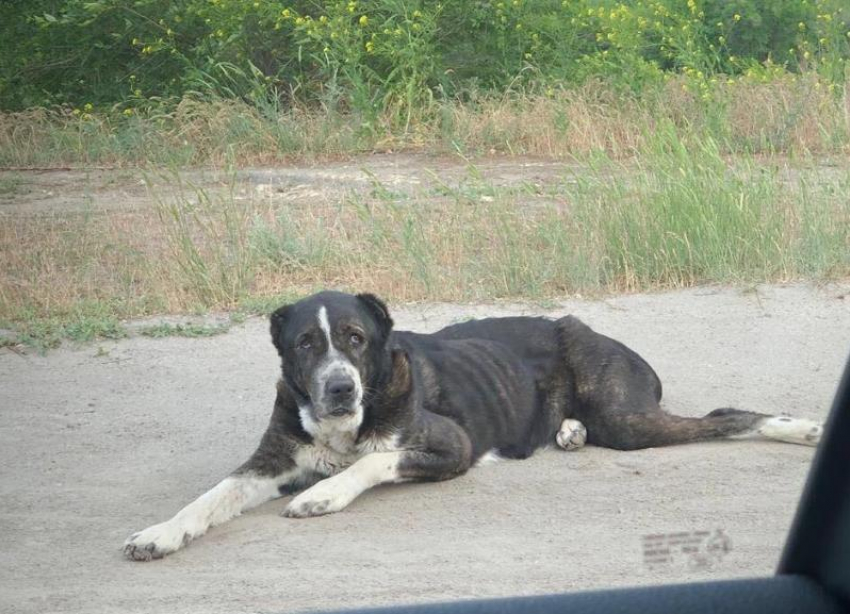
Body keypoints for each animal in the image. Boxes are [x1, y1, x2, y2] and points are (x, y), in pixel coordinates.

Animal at [122, 292, 820, 564]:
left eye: (355, 338)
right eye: (304, 345)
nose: (339, 388)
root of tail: (603, 333)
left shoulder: (449, 446)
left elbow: (372, 458)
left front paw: (324, 493)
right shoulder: (267, 461)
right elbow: (210, 496)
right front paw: (160, 533)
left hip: (628, 418)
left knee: (724, 419)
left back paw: (802, 429)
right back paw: (566, 432)